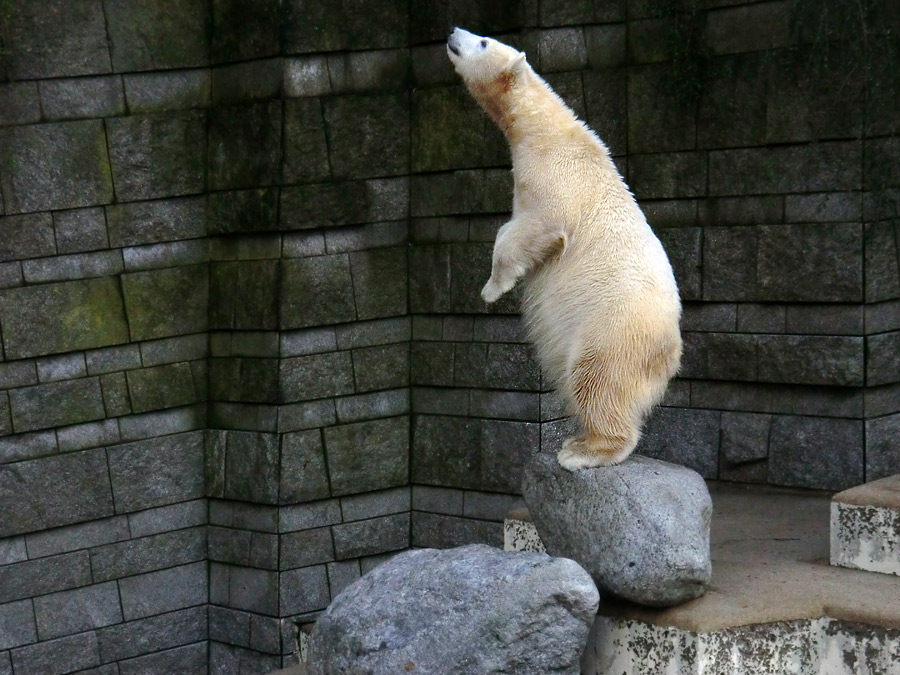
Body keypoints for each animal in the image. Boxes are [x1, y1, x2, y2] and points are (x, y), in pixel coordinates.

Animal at [446, 27, 684, 470]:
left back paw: (582, 451)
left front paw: (492, 288)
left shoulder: (555, 177)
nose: (454, 32)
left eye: (483, 41)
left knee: (596, 380)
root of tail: (669, 354)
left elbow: (530, 229)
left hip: (612, 331)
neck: (546, 131)